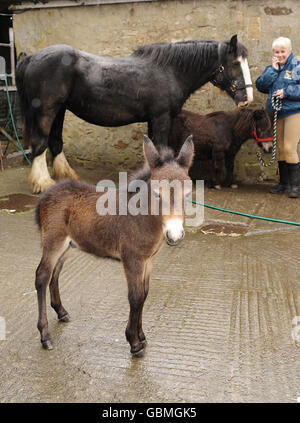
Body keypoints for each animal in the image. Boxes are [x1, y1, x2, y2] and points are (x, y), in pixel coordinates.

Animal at [15, 34, 252, 194]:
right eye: (235, 63)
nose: (247, 98)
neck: (170, 71)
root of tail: (30, 58)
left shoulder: (154, 119)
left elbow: (153, 150)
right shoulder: (161, 118)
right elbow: (160, 147)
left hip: (60, 110)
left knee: (55, 142)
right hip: (47, 110)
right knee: (40, 143)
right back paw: (43, 183)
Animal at [34, 136, 193, 358]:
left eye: (187, 195)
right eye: (156, 194)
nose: (175, 235)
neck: (142, 219)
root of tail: (46, 194)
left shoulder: (149, 260)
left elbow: (144, 294)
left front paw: (142, 336)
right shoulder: (132, 259)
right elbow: (135, 297)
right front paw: (134, 342)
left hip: (68, 245)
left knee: (54, 274)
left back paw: (61, 312)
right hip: (53, 240)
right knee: (42, 276)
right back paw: (45, 336)